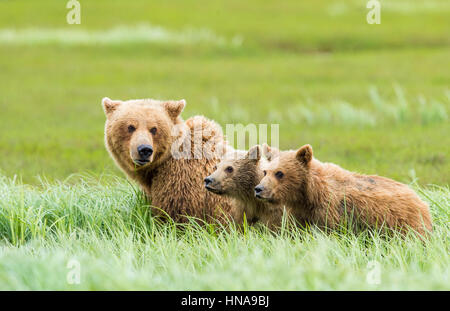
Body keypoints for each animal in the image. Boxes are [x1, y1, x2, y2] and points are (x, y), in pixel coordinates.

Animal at [255, 144, 430, 236]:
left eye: (279, 173)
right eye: (265, 172)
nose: (259, 189)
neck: (308, 195)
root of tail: (421, 200)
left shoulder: (331, 210)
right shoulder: (302, 213)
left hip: (403, 222)